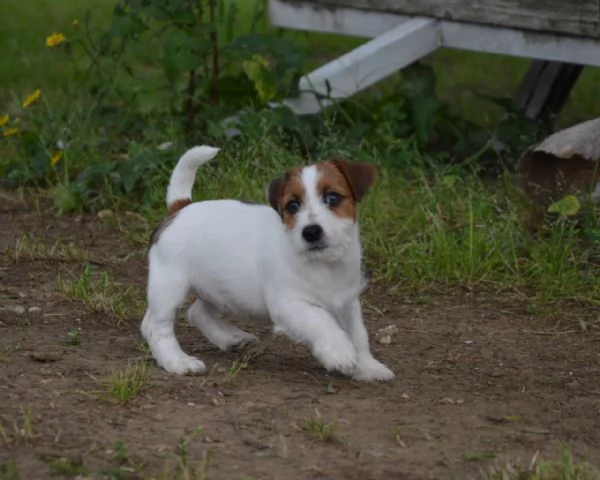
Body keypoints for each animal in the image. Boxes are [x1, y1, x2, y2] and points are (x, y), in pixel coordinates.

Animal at [141, 144, 394, 380]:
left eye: (332, 198)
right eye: (292, 205)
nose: (311, 231)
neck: (324, 265)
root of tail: (181, 208)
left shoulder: (348, 301)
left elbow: (359, 334)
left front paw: (368, 366)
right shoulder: (289, 304)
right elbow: (321, 320)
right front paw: (339, 352)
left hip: (218, 289)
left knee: (195, 313)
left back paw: (232, 338)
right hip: (170, 285)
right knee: (155, 326)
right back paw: (178, 362)